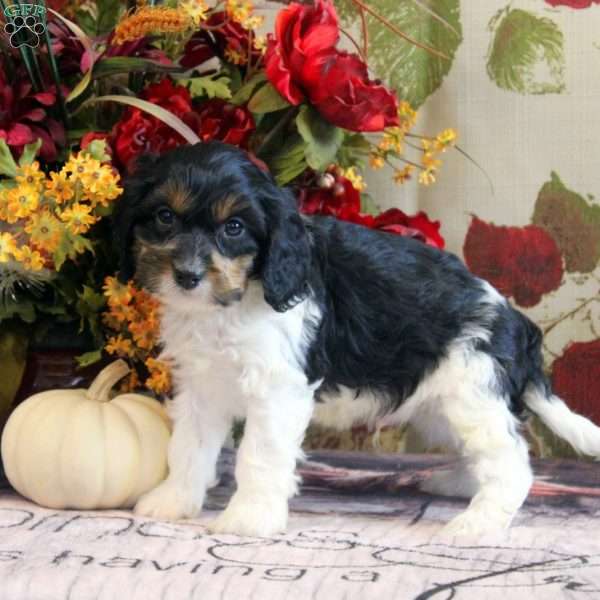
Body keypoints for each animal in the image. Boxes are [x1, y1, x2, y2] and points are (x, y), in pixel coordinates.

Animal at [115, 143, 600, 536]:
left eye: (234, 227)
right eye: (164, 217)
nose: (187, 276)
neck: (237, 297)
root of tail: (513, 319)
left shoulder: (277, 390)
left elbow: (259, 453)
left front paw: (248, 518)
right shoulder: (202, 387)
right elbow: (189, 446)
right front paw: (174, 501)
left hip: (473, 390)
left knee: (511, 463)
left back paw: (476, 524)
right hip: (443, 403)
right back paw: (456, 485)